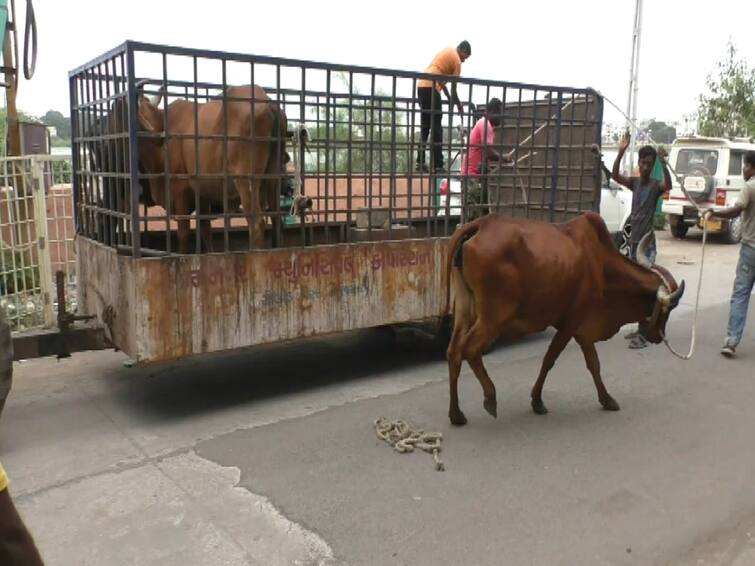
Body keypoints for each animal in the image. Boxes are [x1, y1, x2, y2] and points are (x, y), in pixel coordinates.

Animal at [442, 213, 684, 426]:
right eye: (669, 308)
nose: (656, 337)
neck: (601, 265)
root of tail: (481, 224)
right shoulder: (571, 322)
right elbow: (550, 359)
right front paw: (537, 401)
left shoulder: (582, 326)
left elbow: (594, 364)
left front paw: (607, 399)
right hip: (493, 317)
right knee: (469, 350)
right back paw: (490, 397)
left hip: (464, 309)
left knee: (454, 352)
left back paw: (456, 414)